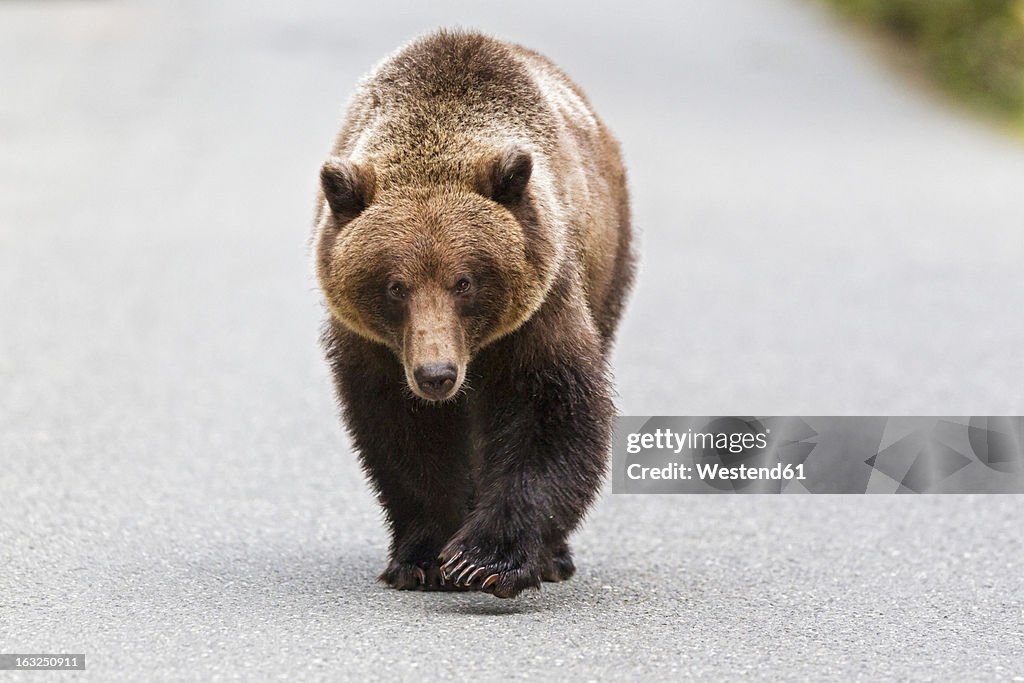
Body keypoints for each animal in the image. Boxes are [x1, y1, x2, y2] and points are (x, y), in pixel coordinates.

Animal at [311, 29, 630, 598]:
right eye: (395, 286)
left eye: (465, 281)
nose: (437, 374)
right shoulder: (378, 347)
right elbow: (402, 434)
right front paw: (423, 557)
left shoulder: (539, 309)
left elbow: (551, 412)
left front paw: (487, 559)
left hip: (608, 266)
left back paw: (555, 556)